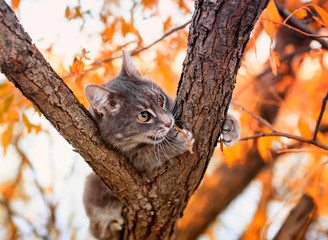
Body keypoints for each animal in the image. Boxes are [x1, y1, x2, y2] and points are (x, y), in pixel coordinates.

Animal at [83, 49, 240, 240]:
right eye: (143, 116)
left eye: (159, 99)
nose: (168, 123)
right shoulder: (130, 158)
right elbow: (150, 153)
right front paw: (177, 142)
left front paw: (231, 125)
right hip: (93, 185)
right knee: (96, 227)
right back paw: (112, 227)